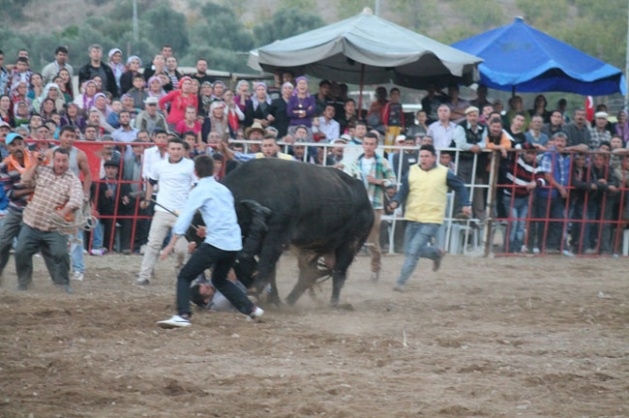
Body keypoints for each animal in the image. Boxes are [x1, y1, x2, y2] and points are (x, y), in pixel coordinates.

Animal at [222, 158, 372, 306]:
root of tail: (367, 201)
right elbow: (271, 271)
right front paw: (273, 300)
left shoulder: (276, 238)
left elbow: (266, 263)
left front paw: (256, 290)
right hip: (311, 250)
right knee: (308, 275)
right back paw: (289, 300)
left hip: (350, 244)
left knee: (338, 273)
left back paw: (333, 303)